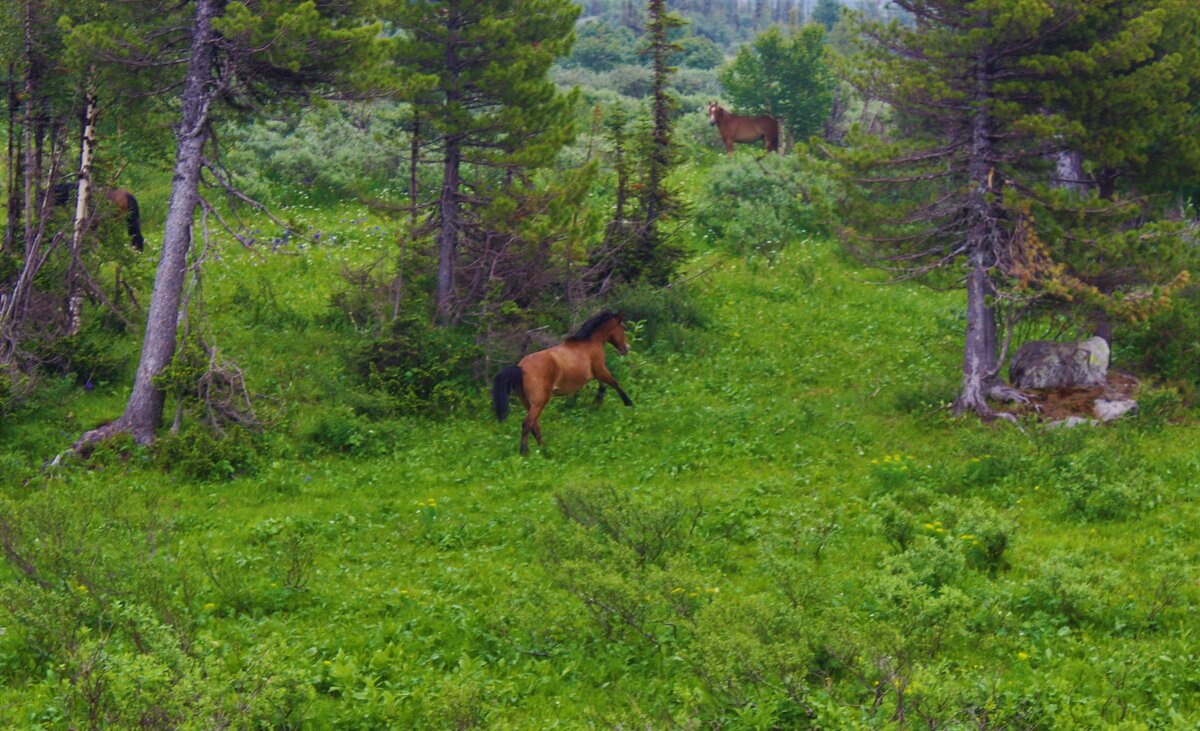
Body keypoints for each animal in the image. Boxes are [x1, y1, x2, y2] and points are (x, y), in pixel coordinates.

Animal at [489, 309, 633, 453]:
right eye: (623, 327)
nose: (627, 348)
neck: (590, 342)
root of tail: (521, 368)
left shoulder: (596, 374)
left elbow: (603, 385)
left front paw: (597, 401)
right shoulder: (600, 370)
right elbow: (615, 383)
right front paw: (628, 403)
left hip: (527, 402)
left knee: (535, 425)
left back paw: (544, 449)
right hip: (539, 401)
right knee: (527, 423)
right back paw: (524, 451)